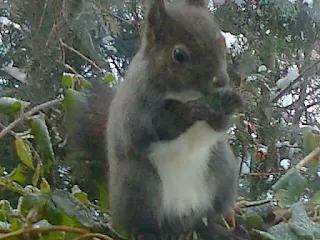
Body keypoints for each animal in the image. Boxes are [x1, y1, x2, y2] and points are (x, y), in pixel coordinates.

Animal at [68, 0, 245, 239]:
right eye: (178, 54)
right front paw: (188, 112)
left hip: (222, 173)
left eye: (221, 41)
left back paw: (215, 228)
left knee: (208, 217)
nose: (222, 81)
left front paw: (227, 102)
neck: (187, 93)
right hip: (140, 186)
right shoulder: (137, 105)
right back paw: (146, 232)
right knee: (145, 223)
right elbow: (150, 127)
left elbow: (219, 125)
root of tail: (181, 216)